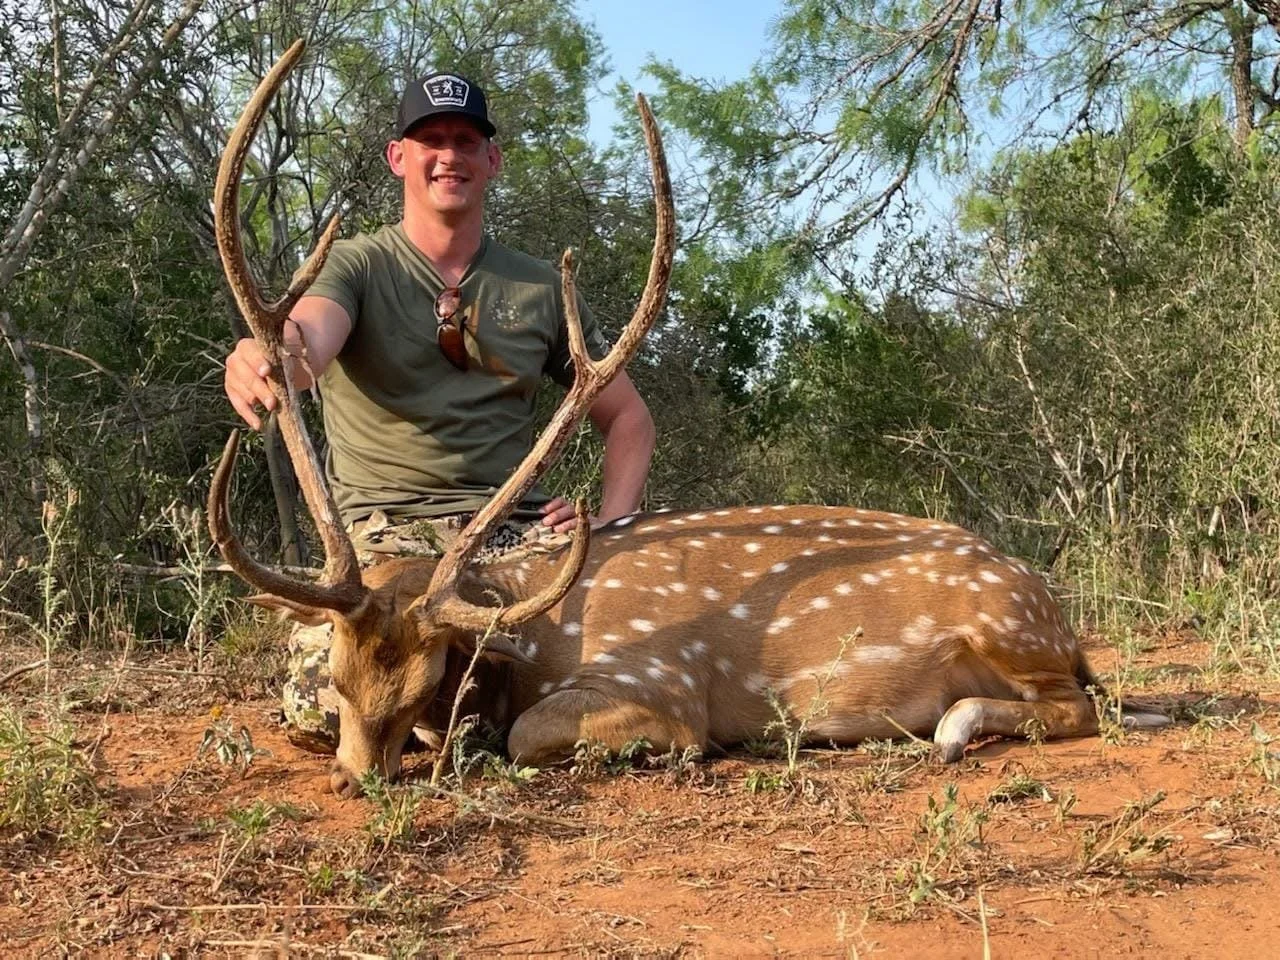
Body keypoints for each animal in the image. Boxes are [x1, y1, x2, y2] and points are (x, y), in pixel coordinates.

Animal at [210, 42, 1167, 800]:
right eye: (336, 679)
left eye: (422, 683)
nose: (354, 779)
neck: (533, 629)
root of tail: (1052, 608)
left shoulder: (661, 685)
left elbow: (528, 735)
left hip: (1008, 627)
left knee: (1079, 704)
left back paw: (954, 727)